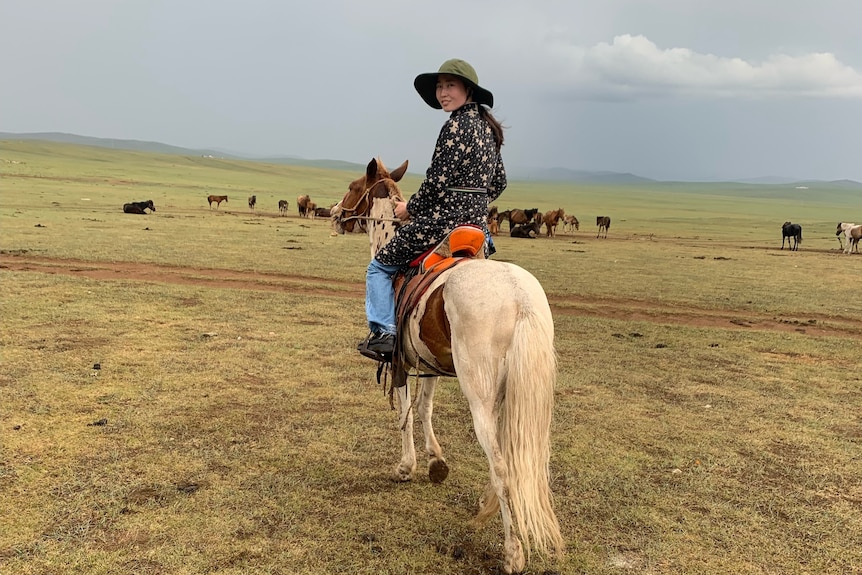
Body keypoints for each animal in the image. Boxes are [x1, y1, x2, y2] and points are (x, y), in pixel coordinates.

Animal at [336, 159, 568, 575]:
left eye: (353, 186)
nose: (336, 214)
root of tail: (520, 298)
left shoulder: (399, 360)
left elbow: (406, 414)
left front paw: (407, 466)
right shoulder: (428, 362)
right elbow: (426, 407)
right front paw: (436, 461)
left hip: (480, 395)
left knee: (503, 466)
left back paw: (513, 551)